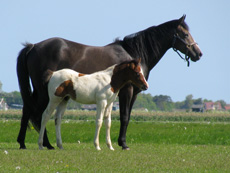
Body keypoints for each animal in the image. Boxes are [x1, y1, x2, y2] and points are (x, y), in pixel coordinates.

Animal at [17, 15, 202, 150]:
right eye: (185, 34)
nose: (198, 53)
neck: (133, 52)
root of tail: (33, 46)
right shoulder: (127, 91)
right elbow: (124, 116)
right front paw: (123, 144)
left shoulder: (132, 93)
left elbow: (122, 117)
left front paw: (115, 143)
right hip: (45, 93)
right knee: (39, 113)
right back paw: (43, 144)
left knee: (29, 110)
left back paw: (26, 143)